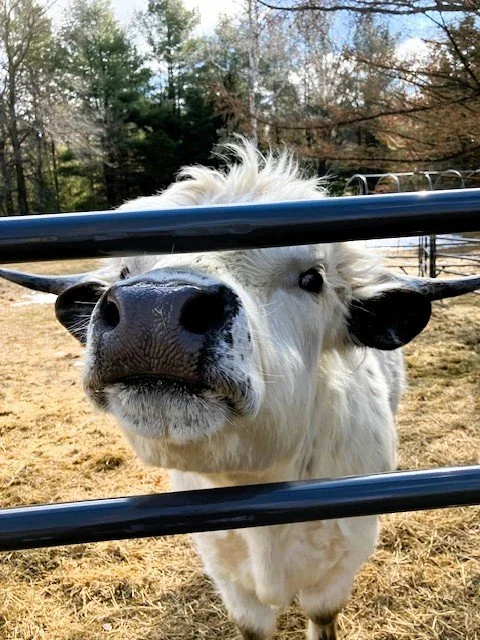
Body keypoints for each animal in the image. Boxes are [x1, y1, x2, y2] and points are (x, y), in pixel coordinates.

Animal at [2, 142, 479, 640]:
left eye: (313, 278)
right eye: (125, 269)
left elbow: (323, 616)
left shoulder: (339, 569)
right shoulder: (229, 577)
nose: (154, 307)